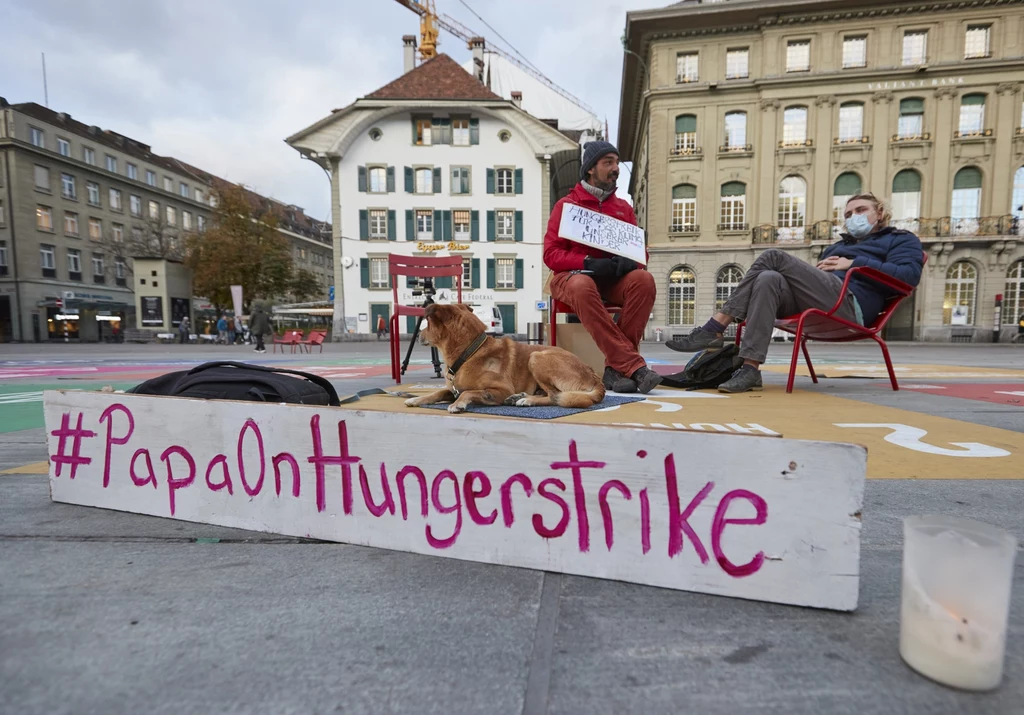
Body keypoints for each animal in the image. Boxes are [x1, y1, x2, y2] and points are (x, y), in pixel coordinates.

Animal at [403, 301, 602, 411]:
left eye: (427, 323)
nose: (418, 335)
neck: (470, 352)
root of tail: (594, 375)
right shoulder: (453, 389)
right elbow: (438, 392)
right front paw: (415, 399)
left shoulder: (501, 389)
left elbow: (469, 391)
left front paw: (458, 404)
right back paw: (520, 396)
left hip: (536, 356)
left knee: (555, 396)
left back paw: (527, 400)